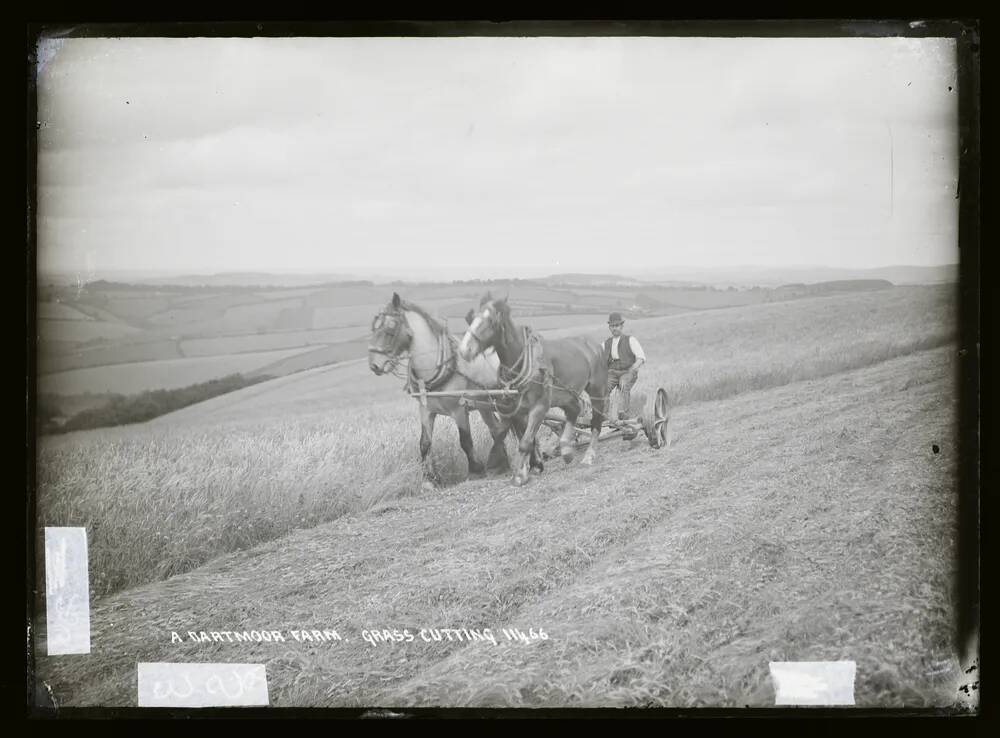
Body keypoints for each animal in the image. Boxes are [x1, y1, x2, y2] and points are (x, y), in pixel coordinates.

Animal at [368, 292, 544, 488]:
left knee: (523, 426)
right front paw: (430, 479)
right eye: (374, 327)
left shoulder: (459, 409)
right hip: (487, 406)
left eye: (390, 328)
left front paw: (476, 470)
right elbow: (424, 443)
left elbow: (465, 440)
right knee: (499, 429)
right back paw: (504, 463)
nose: (374, 365)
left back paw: (534, 462)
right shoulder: (426, 410)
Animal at [460, 290, 608, 486]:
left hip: (597, 390)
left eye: (491, 321)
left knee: (596, 421)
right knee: (574, 410)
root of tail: (594, 345)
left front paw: (520, 475)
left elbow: (525, 442)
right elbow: (510, 435)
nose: (464, 350)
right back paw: (566, 449)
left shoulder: (539, 407)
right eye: (471, 318)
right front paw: (523, 467)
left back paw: (588, 455)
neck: (523, 360)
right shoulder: (513, 409)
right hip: (565, 394)